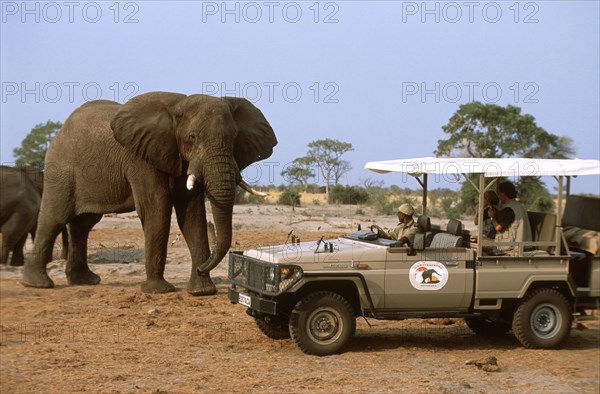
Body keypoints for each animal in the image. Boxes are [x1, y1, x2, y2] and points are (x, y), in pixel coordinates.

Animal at [22, 91, 278, 296]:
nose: (202, 266)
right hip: (61, 168)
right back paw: (37, 284)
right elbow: (158, 208)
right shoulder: (141, 158)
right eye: (193, 137)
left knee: (82, 225)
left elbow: (192, 214)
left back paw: (85, 281)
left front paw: (202, 291)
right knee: (55, 218)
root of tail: (60, 130)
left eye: (234, 138)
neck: (178, 105)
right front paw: (159, 291)